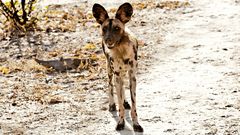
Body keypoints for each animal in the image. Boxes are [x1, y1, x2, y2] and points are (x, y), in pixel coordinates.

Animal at [92, 2, 142, 132]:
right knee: (110, 86)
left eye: (116, 28)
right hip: (110, 71)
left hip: (122, 73)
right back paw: (112, 105)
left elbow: (134, 106)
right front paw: (120, 122)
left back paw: (125, 102)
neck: (121, 50)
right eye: (104, 28)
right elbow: (120, 105)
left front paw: (136, 124)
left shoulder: (132, 76)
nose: (108, 40)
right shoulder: (117, 75)